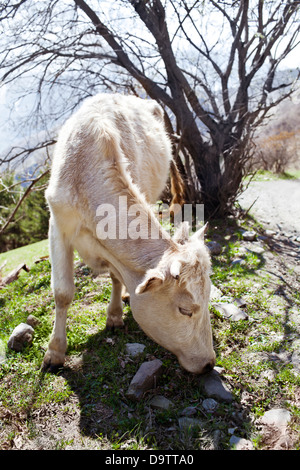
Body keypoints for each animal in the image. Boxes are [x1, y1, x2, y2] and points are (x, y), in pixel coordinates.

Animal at [42, 93, 216, 376]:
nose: (209, 363)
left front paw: (114, 315)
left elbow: (115, 277)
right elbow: (63, 292)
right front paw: (54, 352)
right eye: (185, 310)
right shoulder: (58, 225)